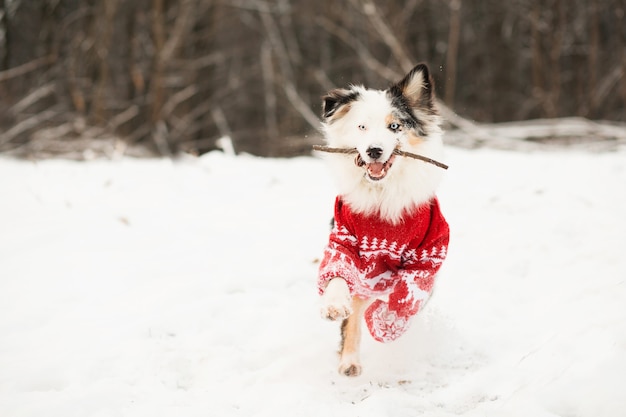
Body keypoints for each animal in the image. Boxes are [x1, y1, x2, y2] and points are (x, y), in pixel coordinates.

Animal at [316, 63, 448, 376]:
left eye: (395, 126)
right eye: (361, 127)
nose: (374, 150)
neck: (382, 194)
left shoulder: (428, 253)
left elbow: (405, 297)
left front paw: (384, 322)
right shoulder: (343, 238)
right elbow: (337, 274)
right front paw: (334, 305)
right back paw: (349, 360)